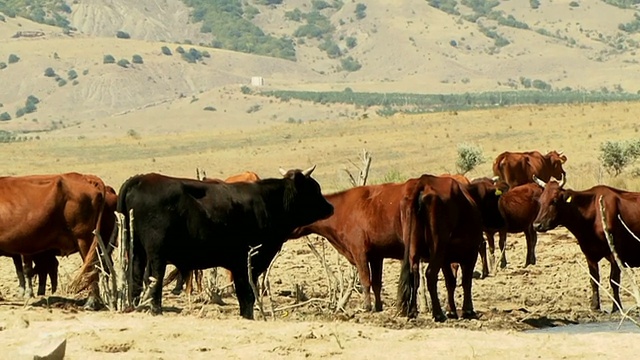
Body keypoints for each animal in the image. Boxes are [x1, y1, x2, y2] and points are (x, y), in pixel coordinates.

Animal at [118, 165, 336, 318]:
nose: (330, 207)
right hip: (156, 255)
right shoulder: (246, 262)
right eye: (314, 189)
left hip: (137, 251)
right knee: (154, 280)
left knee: (136, 278)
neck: (269, 202)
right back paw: (156, 310)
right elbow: (246, 295)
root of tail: (142, 178)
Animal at [398, 174, 482, 320]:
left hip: (415, 247)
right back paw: (438, 313)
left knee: (415, 274)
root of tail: (424, 181)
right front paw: (467, 310)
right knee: (430, 274)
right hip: (437, 247)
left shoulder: (445, 259)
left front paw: (452, 310)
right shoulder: (471, 253)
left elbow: (450, 282)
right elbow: (466, 281)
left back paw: (413, 311)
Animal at [532, 175, 640, 312]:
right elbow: (594, 279)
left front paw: (616, 307)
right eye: (540, 201)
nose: (537, 225)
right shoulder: (589, 254)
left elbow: (614, 281)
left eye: (554, 200)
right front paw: (595, 305)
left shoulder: (615, 253)